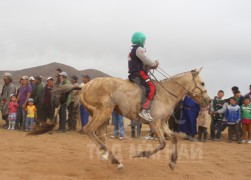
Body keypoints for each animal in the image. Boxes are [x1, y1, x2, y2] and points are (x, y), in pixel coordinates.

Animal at [29, 67, 210, 170]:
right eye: (202, 83)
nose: (208, 101)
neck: (165, 94)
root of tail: (84, 85)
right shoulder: (155, 124)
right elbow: (163, 144)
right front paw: (141, 154)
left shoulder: (163, 125)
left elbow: (173, 139)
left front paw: (173, 162)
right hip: (103, 112)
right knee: (90, 130)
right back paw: (114, 159)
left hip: (102, 114)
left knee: (99, 134)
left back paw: (111, 157)